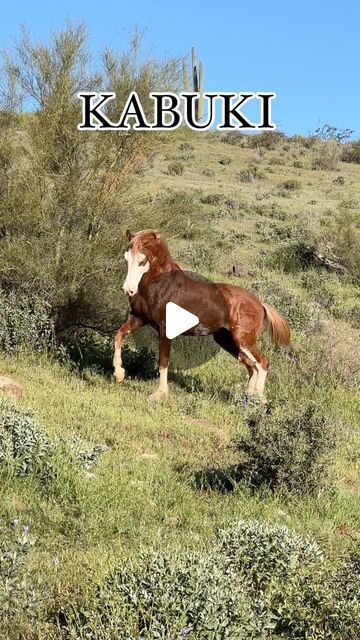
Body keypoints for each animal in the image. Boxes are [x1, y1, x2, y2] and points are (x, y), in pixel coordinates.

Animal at [114, 230, 292, 400]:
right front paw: (119, 375)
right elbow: (119, 335)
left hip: (243, 340)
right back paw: (248, 398)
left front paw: (159, 393)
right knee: (252, 366)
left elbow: (163, 361)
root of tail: (260, 303)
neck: (161, 285)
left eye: (142, 261)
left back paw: (258, 400)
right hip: (228, 341)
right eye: (126, 258)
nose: (128, 290)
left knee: (262, 363)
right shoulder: (138, 318)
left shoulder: (165, 330)